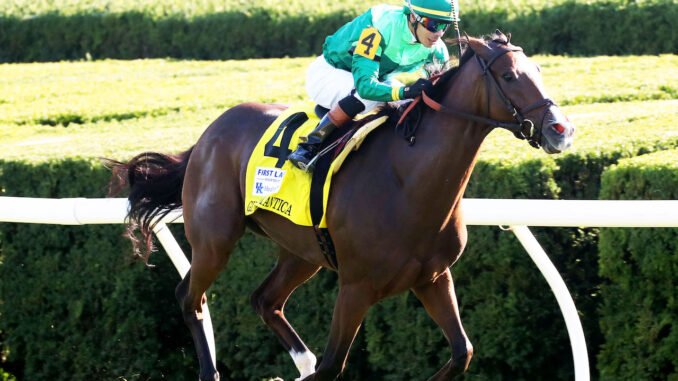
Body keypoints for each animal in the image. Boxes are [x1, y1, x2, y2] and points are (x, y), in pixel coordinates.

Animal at [109, 32, 576, 380]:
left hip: (302, 251)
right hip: (215, 239)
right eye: (510, 75)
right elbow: (335, 365)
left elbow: (462, 351)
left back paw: (300, 363)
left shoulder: (433, 277)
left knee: (264, 300)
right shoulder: (356, 287)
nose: (561, 130)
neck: (407, 181)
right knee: (191, 298)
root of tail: (208, 134)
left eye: (539, 70)